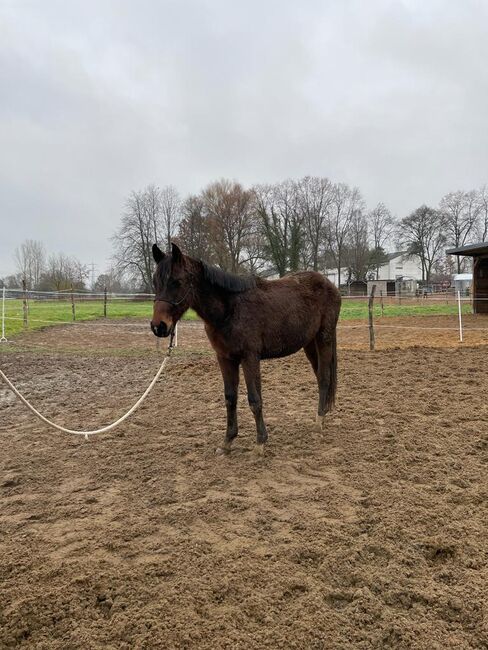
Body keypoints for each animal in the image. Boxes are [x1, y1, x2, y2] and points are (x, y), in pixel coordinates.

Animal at [151, 240, 342, 454]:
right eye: (155, 282)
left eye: (176, 282)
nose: (159, 326)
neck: (230, 309)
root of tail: (330, 285)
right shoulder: (225, 358)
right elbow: (230, 398)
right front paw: (227, 441)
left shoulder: (249, 358)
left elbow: (254, 400)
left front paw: (260, 443)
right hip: (309, 343)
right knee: (319, 376)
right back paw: (322, 415)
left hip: (324, 338)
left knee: (324, 377)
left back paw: (319, 423)